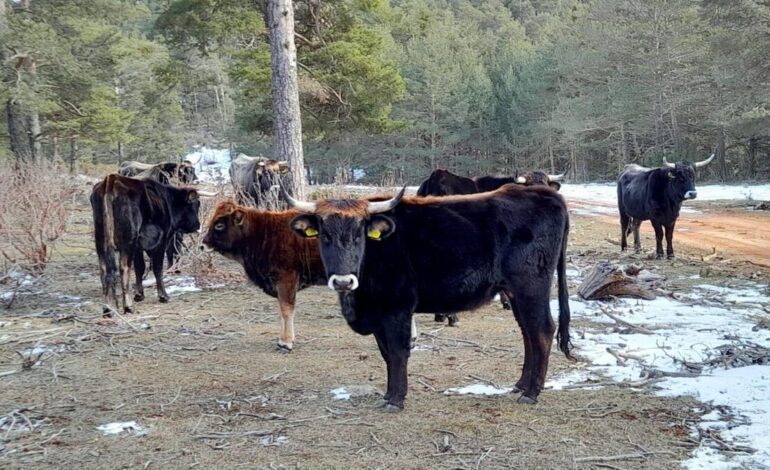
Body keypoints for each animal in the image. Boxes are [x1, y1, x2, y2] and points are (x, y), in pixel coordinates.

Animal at [90, 174, 207, 314]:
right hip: (127, 242)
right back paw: (127, 306)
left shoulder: (138, 247)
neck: (167, 201)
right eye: (196, 204)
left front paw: (139, 295)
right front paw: (163, 296)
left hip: (100, 241)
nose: (198, 225)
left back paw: (107, 308)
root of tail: (112, 179)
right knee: (124, 268)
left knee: (104, 271)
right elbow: (157, 268)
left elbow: (140, 268)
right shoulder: (160, 242)